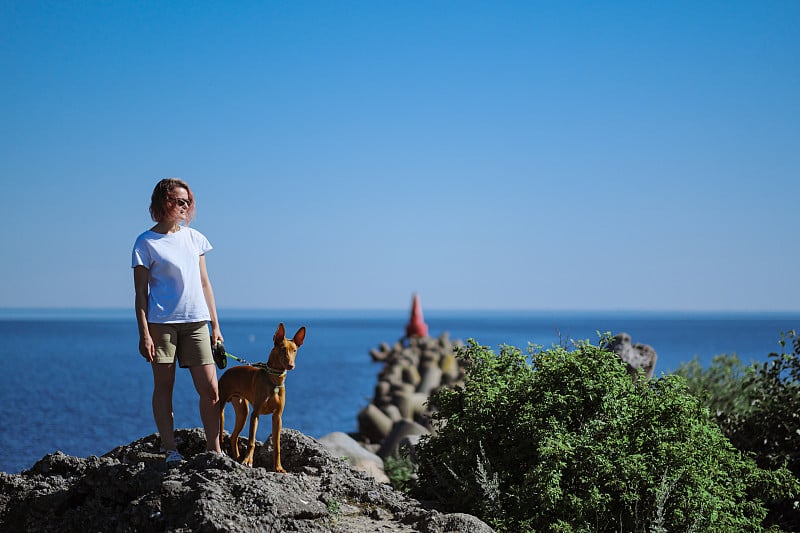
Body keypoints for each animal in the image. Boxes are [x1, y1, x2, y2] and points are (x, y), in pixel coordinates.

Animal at [219, 320, 306, 470]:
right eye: (282, 349)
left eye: (294, 350)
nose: (291, 365)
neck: (274, 381)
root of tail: (226, 372)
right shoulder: (256, 414)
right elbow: (251, 441)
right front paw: (248, 461)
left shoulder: (277, 417)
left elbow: (277, 446)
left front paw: (278, 468)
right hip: (222, 410)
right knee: (219, 433)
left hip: (243, 412)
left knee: (234, 436)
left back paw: (236, 457)